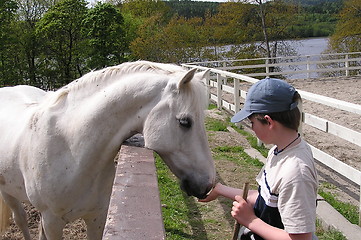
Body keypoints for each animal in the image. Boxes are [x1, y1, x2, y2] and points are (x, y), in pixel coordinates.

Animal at [0, 61, 215, 240]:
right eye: (185, 122)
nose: (208, 185)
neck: (72, 150)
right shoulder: (53, 222)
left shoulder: (97, 216)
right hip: (8, 193)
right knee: (20, 219)